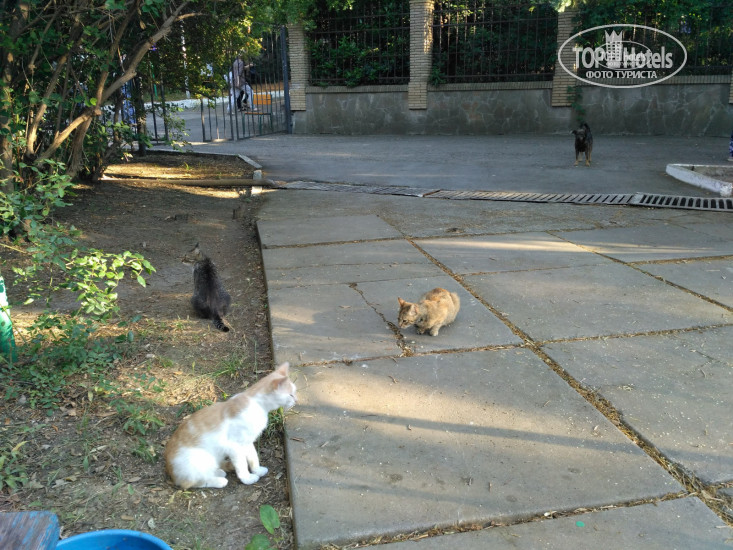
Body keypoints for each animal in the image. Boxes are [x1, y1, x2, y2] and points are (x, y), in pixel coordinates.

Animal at [165, 362, 296, 490]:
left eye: (294, 393)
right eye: (291, 395)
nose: (296, 400)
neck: (257, 405)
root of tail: (172, 474)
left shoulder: (247, 442)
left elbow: (253, 457)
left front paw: (257, 470)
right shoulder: (234, 446)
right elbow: (242, 464)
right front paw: (247, 478)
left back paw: (218, 472)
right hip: (198, 460)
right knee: (190, 483)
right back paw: (219, 481)